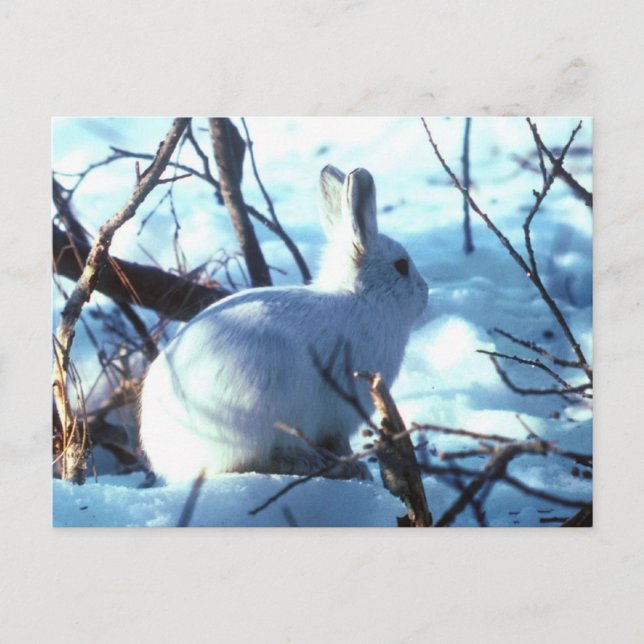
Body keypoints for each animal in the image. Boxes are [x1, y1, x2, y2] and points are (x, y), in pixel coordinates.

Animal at [139, 165, 428, 482]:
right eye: (401, 266)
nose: (425, 293)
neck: (361, 298)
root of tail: (173, 460)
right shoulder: (340, 410)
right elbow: (340, 441)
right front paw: (355, 466)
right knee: (246, 464)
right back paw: (311, 463)